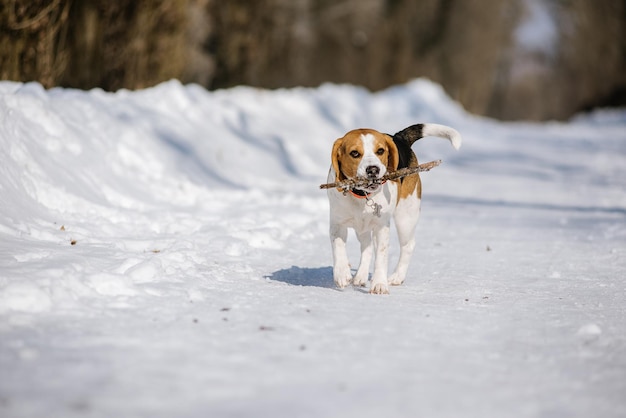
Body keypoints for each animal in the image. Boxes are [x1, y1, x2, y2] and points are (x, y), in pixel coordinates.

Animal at [326, 124, 458, 294]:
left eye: (380, 150)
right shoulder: (337, 223)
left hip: (405, 218)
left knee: (408, 245)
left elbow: (381, 257)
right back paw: (360, 276)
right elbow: (338, 247)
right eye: (354, 153)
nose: (373, 170)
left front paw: (379, 284)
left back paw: (397, 277)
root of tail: (399, 137)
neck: (363, 196)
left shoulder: (382, 227)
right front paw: (342, 273)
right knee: (367, 247)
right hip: (362, 227)